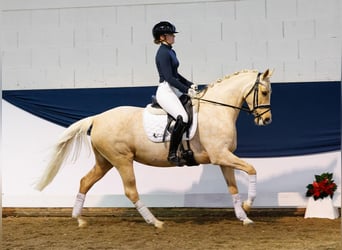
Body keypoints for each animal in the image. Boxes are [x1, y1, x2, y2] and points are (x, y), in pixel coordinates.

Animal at [36, 69, 274, 229]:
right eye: (263, 92)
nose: (267, 120)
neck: (216, 110)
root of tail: (97, 118)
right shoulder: (221, 155)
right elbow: (252, 169)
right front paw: (249, 205)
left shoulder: (224, 158)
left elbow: (233, 188)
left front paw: (244, 216)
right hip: (122, 160)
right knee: (130, 190)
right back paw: (155, 222)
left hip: (105, 162)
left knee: (85, 181)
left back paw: (79, 219)